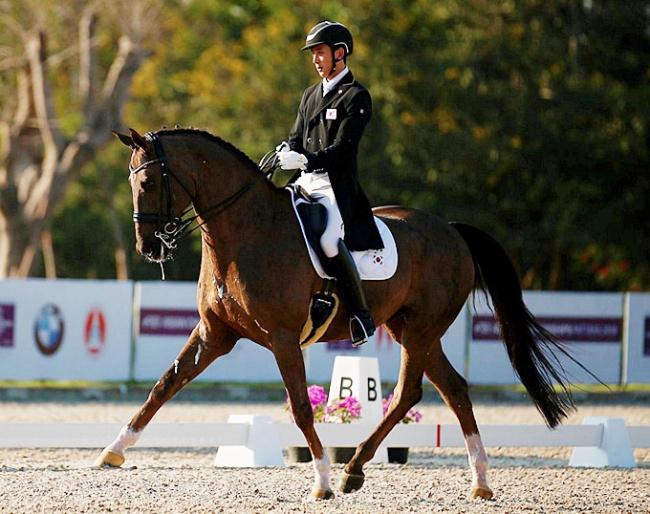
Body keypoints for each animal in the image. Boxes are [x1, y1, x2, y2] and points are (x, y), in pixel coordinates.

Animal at [95, 128, 576, 500]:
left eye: (149, 181)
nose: (149, 247)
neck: (246, 231)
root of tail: (452, 231)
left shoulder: (283, 338)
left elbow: (301, 408)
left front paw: (321, 480)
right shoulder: (216, 334)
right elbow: (164, 385)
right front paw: (113, 450)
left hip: (421, 330)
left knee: (408, 393)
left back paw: (351, 471)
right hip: (408, 329)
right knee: (451, 389)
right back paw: (477, 481)